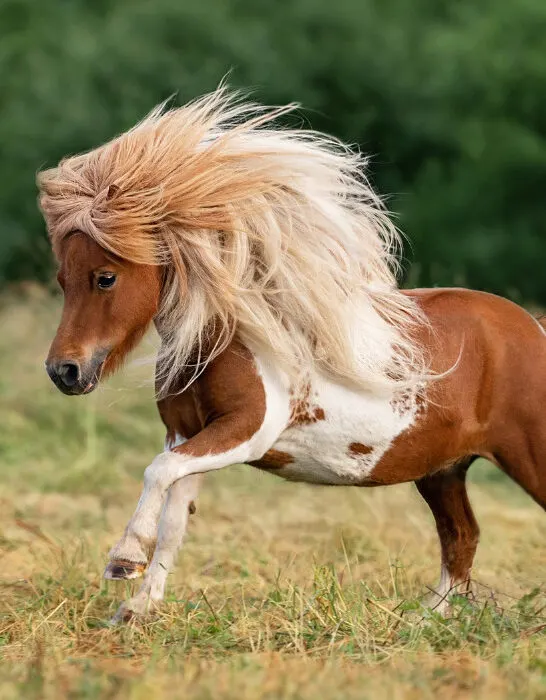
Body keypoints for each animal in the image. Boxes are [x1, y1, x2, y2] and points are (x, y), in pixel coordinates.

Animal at [38, 88, 546, 623]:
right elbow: (174, 515)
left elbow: (158, 473)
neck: (231, 338)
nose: (64, 371)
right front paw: (136, 608)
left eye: (105, 277)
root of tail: (534, 328)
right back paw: (420, 621)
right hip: (444, 472)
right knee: (461, 538)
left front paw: (123, 560)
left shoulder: (246, 431)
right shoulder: (185, 434)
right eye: (62, 279)